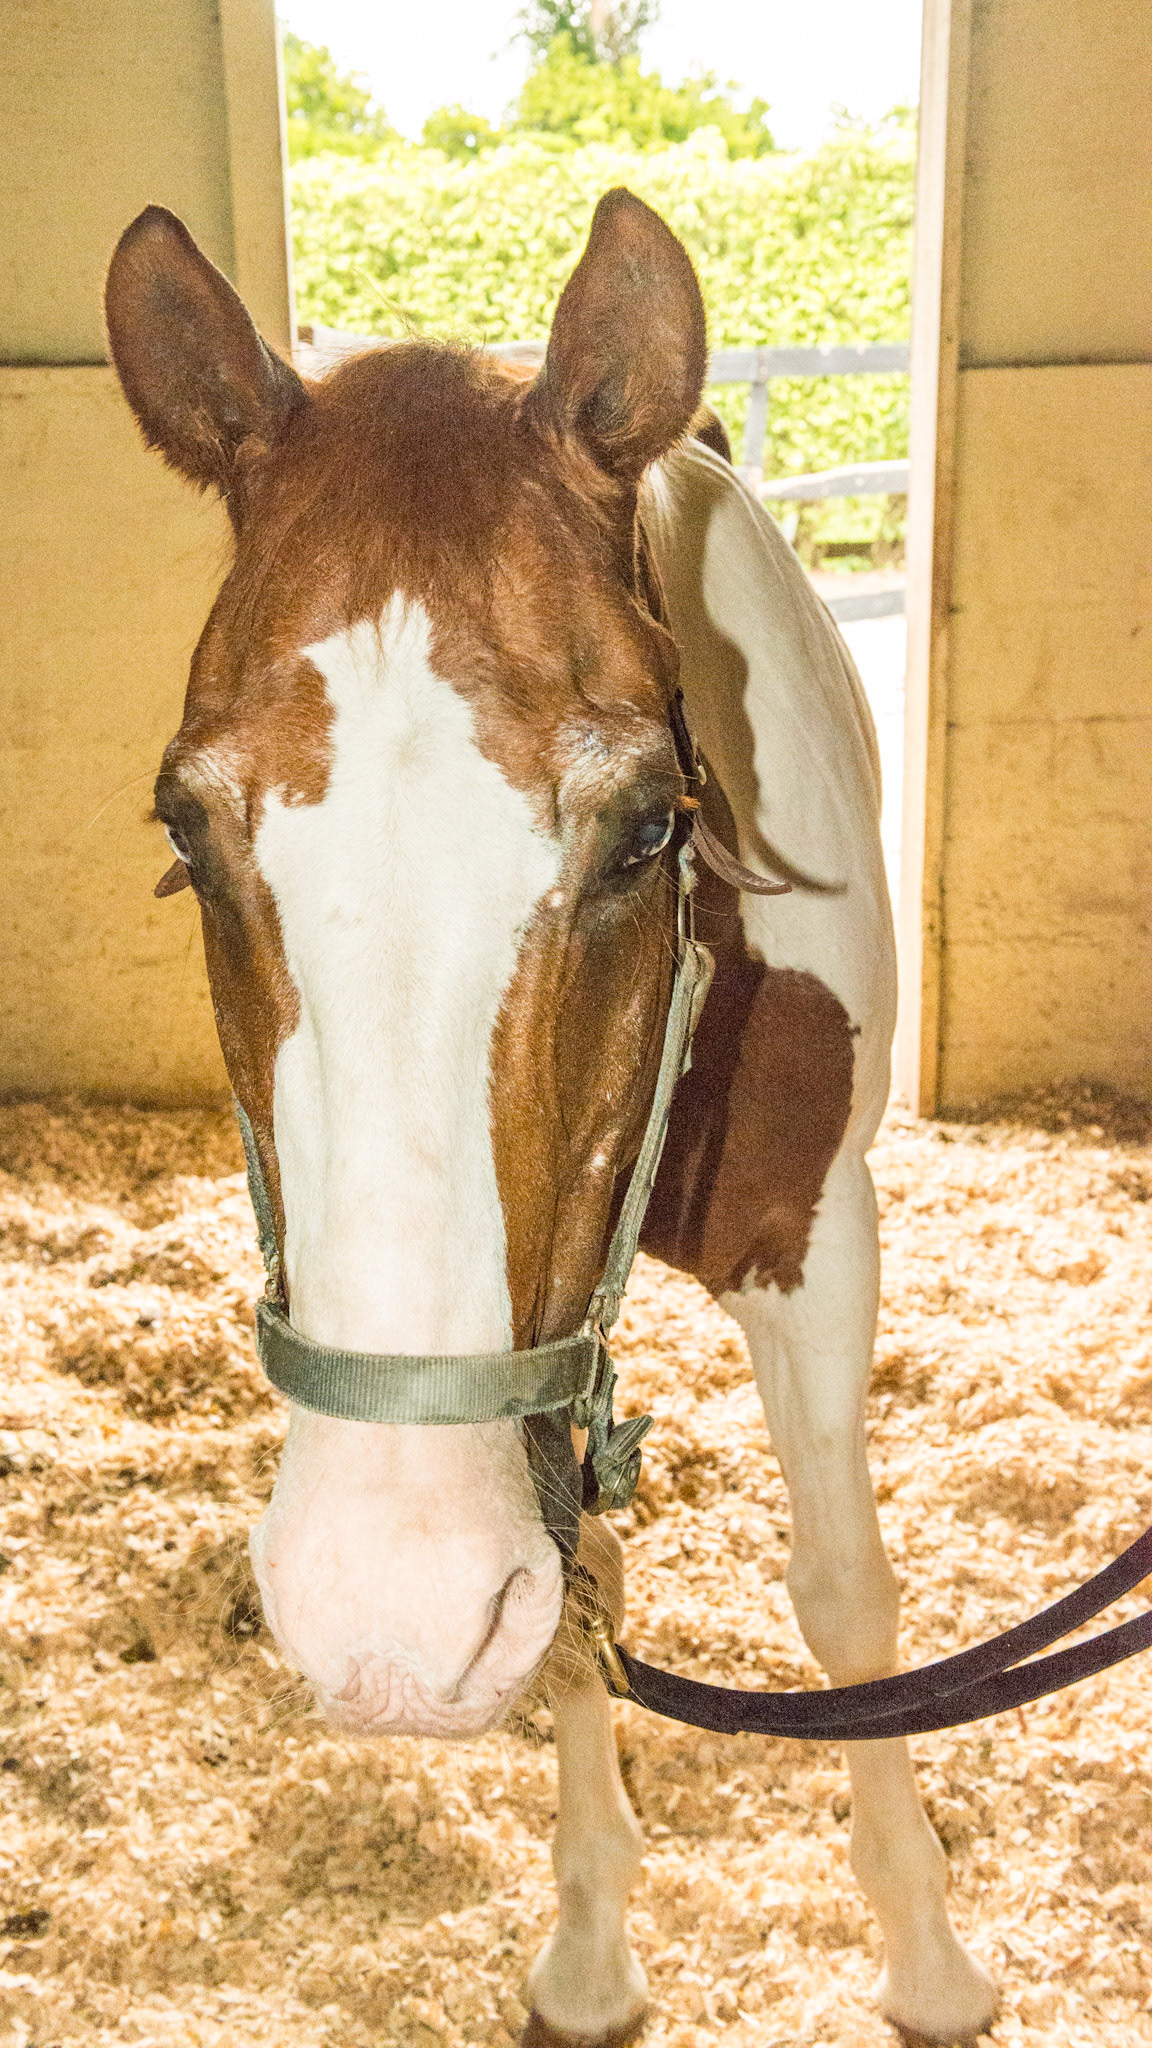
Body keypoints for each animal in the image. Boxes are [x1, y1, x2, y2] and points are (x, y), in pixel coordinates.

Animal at [104, 189, 998, 2047]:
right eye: (185, 828)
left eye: (648, 823)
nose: (386, 1613)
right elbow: (578, 1585)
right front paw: (591, 1950)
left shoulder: (820, 1243)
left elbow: (845, 1587)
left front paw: (927, 1955)